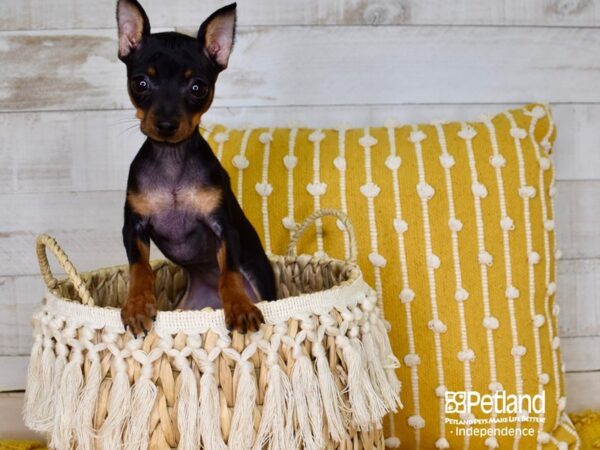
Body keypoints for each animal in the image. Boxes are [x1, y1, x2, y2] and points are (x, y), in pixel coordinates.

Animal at [116, 0, 276, 336]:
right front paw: (137, 304)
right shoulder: (133, 228)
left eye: (197, 87)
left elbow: (229, 272)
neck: (172, 159)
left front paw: (239, 306)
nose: (166, 124)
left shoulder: (223, 227)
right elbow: (140, 268)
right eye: (140, 83)